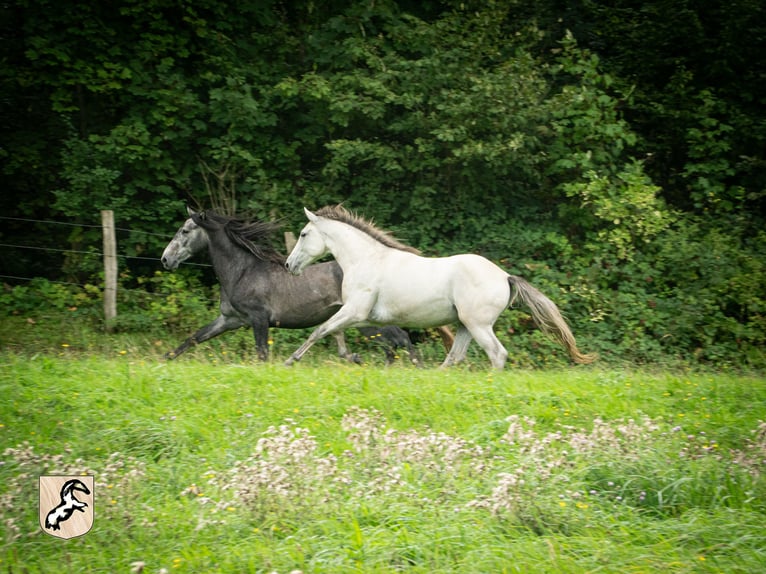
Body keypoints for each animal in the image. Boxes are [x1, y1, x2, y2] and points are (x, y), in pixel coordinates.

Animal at [160, 209, 426, 366]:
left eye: (185, 230)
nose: (165, 259)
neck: (242, 272)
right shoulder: (230, 319)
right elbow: (194, 338)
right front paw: (163, 359)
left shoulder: (259, 319)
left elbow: (261, 355)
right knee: (392, 343)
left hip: (366, 320)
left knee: (400, 338)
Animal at [284, 205, 596, 372]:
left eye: (303, 234)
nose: (289, 265)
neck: (367, 259)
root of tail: (505, 276)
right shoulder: (359, 316)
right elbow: (333, 333)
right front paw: (351, 357)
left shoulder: (356, 312)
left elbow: (320, 330)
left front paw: (291, 360)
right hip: (464, 325)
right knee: (455, 357)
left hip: (478, 325)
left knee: (497, 355)